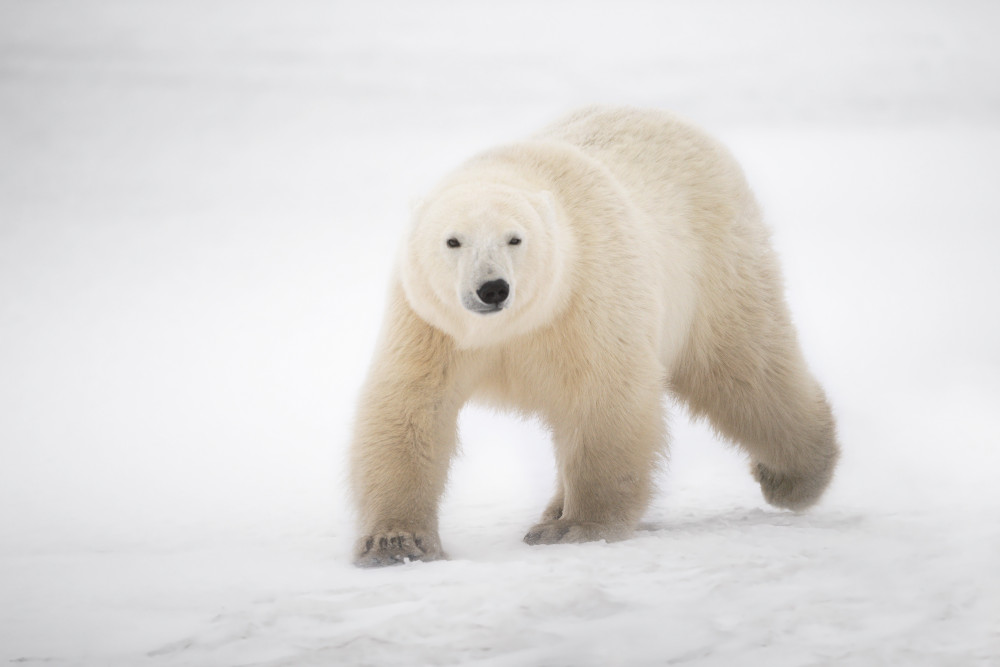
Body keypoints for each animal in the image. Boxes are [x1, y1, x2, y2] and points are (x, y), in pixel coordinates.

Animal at [348, 107, 840, 568]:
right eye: (453, 241)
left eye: (515, 239)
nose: (492, 288)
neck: (511, 328)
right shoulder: (428, 323)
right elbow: (410, 406)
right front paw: (394, 543)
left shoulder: (587, 295)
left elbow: (603, 398)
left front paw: (578, 527)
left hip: (715, 265)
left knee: (745, 370)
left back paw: (794, 477)